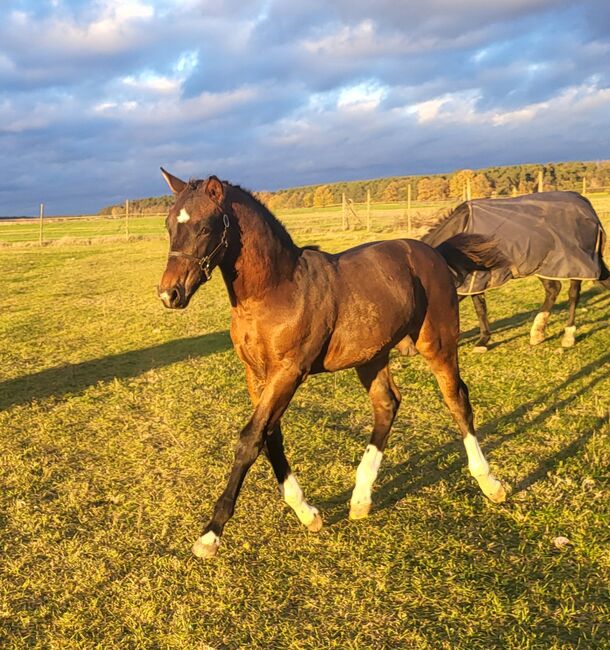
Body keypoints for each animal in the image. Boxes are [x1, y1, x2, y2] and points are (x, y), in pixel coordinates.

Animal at [157, 171, 504, 556]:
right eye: (169, 225)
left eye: (204, 226)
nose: (170, 294)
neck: (275, 291)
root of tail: (432, 252)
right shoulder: (257, 374)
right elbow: (270, 436)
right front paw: (307, 513)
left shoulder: (289, 371)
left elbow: (251, 439)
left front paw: (210, 534)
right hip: (371, 357)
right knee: (387, 405)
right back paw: (361, 499)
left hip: (438, 345)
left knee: (457, 400)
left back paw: (490, 483)